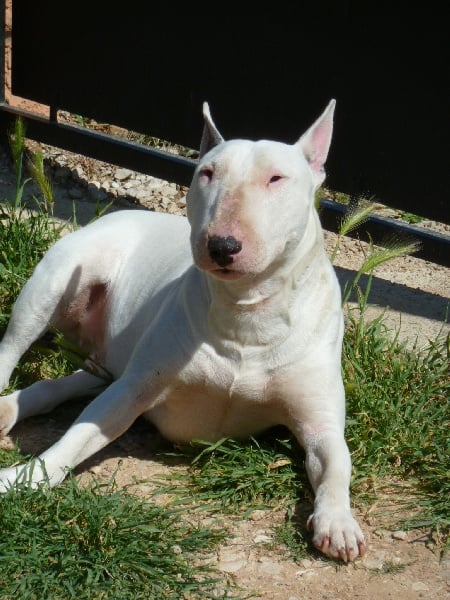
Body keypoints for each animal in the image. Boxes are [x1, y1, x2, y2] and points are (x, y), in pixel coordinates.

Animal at [0, 100, 365, 561]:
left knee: (69, 382)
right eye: (206, 173)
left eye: (276, 178)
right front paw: (20, 479)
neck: (246, 313)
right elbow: (77, 437)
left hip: (111, 358)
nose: (222, 245)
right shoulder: (134, 388)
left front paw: (338, 523)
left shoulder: (320, 420)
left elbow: (336, 462)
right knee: (13, 348)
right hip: (53, 284)